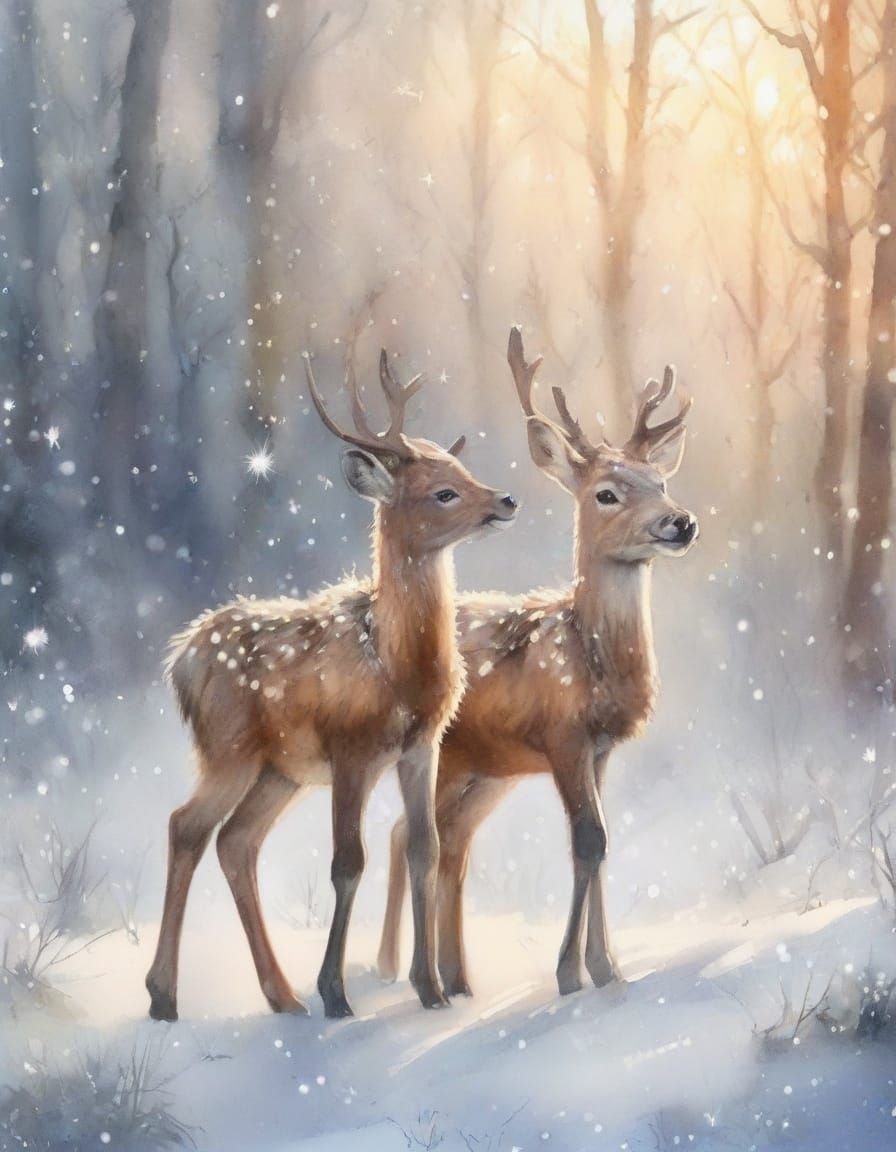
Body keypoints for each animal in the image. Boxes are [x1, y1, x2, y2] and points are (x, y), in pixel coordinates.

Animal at [145, 349, 519, 1022]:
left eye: (463, 470)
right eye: (444, 491)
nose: (505, 499)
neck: (399, 668)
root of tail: (180, 659)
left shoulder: (421, 747)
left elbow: (424, 849)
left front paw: (431, 989)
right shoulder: (351, 748)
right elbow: (349, 861)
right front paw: (337, 993)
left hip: (279, 771)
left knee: (236, 842)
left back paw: (281, 995)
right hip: (229, 750)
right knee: (186, 826)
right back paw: (165, 997)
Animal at [377, 327, 697, 999]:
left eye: (660, 482)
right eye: (607, 493)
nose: (680, 522)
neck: (591, 658)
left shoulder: (600, 748)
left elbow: (600, 841)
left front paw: (607, 967)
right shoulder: (563, 735)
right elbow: (589, 839)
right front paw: (572, 974)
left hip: (484, 770)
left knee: (447, 842)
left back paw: (453, 976)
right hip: (449, 759)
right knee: (410, 836)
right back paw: (394, 968)